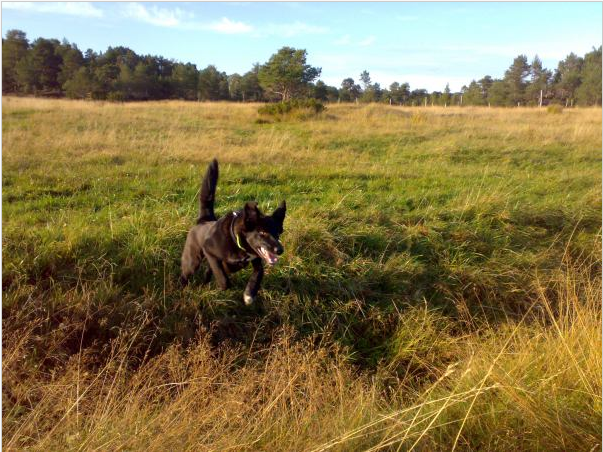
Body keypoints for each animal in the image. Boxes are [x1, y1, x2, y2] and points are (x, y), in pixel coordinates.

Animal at [180, 158, 286, 304]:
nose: (280, 250)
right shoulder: (210, 251)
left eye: (278, 234)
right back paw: (182, 289)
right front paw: (223, 285)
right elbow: (224, 280)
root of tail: (203, 220)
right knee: (186, 274)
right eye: (262, 233)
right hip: (192, 261)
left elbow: (259, 273)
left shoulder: (256, 259)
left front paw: (249, 294)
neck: (237, 240)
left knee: (208, 272)